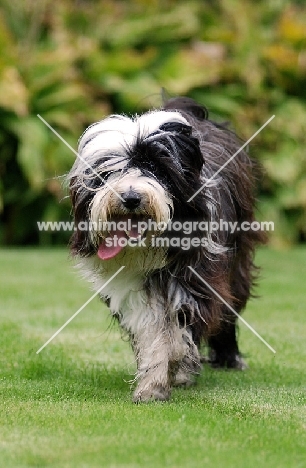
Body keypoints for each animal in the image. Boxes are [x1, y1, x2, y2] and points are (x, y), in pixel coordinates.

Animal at [68, 96, 264, 402]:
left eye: (155, 167)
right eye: (109, 172)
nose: (131, 198)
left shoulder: (197, 278)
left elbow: (182, 329)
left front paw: (175, 373)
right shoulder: (133, 289)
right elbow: (155, 333)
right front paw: (154, 385)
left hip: (238, 263)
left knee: (228, 309)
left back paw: (229, 358)